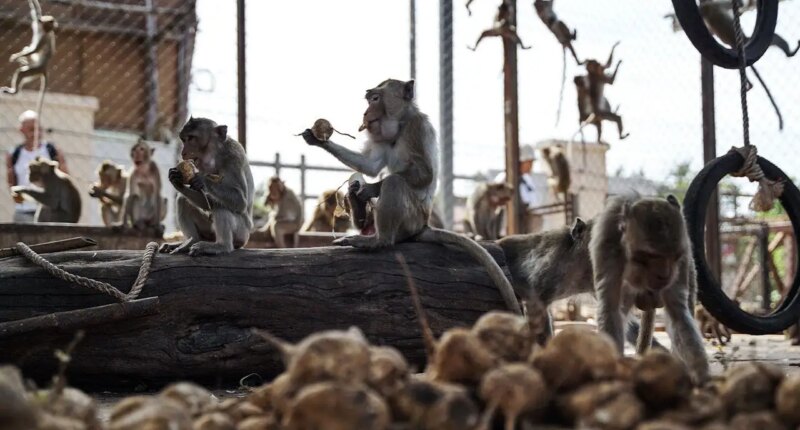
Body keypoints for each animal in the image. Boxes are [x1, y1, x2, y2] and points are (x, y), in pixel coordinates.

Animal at [1, 0, 57, 143]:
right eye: (47, 21)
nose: (40, 20)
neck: (44, 30)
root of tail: (43, 69)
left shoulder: (44, 37)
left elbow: (35, 49)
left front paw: (16, 56)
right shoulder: (39, 25)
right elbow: (35, 10)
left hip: (34, 71)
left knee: (23, 72)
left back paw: (14, 91)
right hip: (35, 68)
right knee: (27, 52)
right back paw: (23, 61)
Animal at [159, 117, 255, 256]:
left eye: (191, 138)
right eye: (183, 139)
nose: (183, 152)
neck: (216, 154)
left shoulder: (233, 156)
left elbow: (240, 201)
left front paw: (203, 180)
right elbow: (206, 203)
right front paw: (176, 179)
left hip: (241, 234)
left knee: (221, 206)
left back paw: (222, 246)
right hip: (209, 233)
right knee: (183, 200)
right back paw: (192, 240)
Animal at [300, 78, 522, 314]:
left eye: (375, 99)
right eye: (369, 100)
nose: (365, 113)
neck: (400, 125)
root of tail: (423, 226)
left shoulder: (416, 128)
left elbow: (423, 174)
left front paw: (370, 189)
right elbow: (369, 166)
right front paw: (319, 140)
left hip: (411, 219)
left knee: (394, 183)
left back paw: (379, 240)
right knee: (363, 185)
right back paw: (357, 205)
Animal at [589, 194, 708, 384]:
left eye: (674, 257)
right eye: (651, 255)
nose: (664, 275)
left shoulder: (684, 256)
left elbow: (678, 313)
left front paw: (701, 373)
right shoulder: (607, 244)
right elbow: (611, 308)